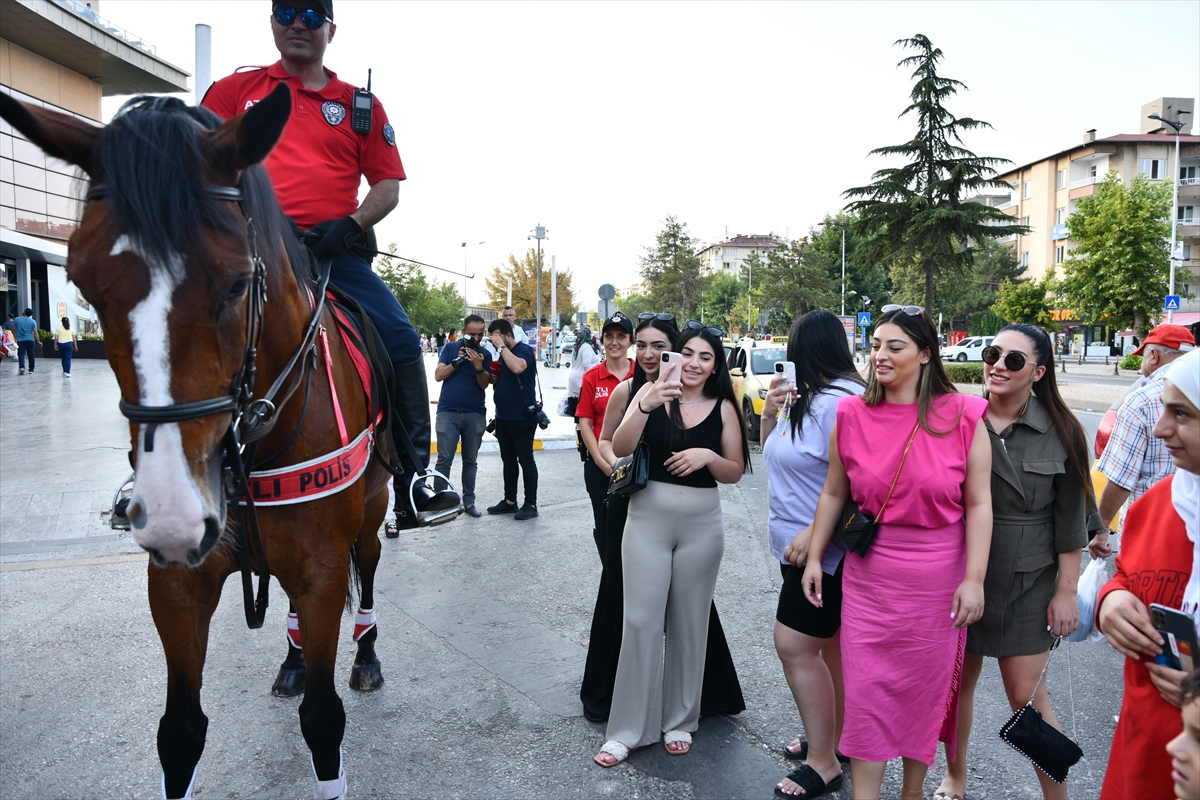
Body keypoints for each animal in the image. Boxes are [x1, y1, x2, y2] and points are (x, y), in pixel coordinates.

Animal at [0, 84, 386, 796]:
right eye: (85, 284)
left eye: (237, 282)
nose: (174, 514)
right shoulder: (179, 583)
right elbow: (179, 734)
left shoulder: (322, 568)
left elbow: (323, 723)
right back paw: (292, 659)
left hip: (372, 513)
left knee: (369, 569)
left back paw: (366, 652)